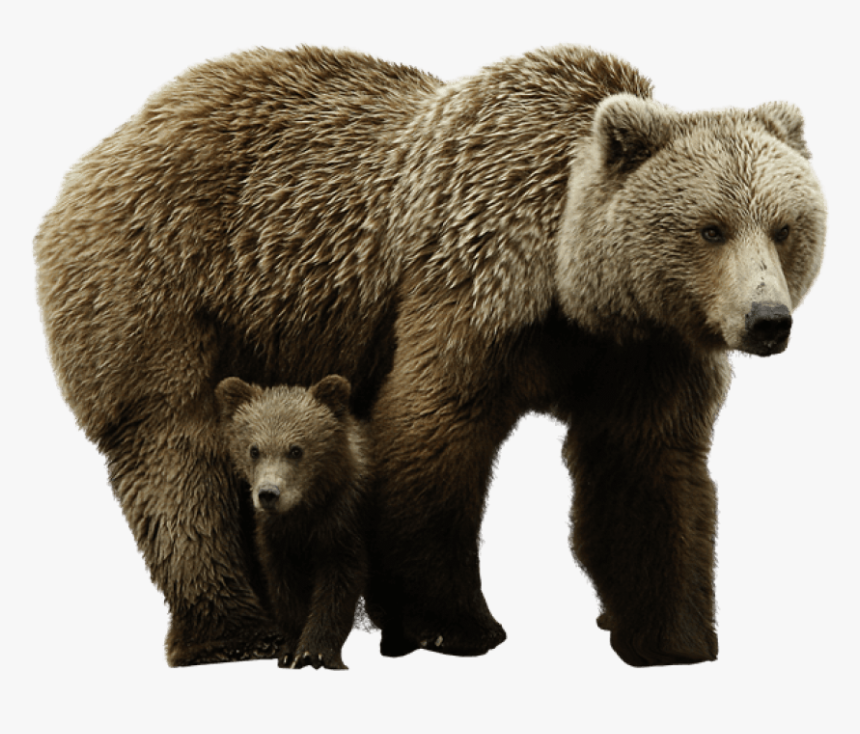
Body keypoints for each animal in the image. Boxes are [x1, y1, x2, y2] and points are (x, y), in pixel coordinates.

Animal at [215, 374, 368, 670]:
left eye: (296, 450)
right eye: (254, 449)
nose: (269, 493)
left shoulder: (342, 523)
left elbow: (337, 586)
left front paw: (314, 652)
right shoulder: (275, 538)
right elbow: (284, 588)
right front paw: (290, 650)